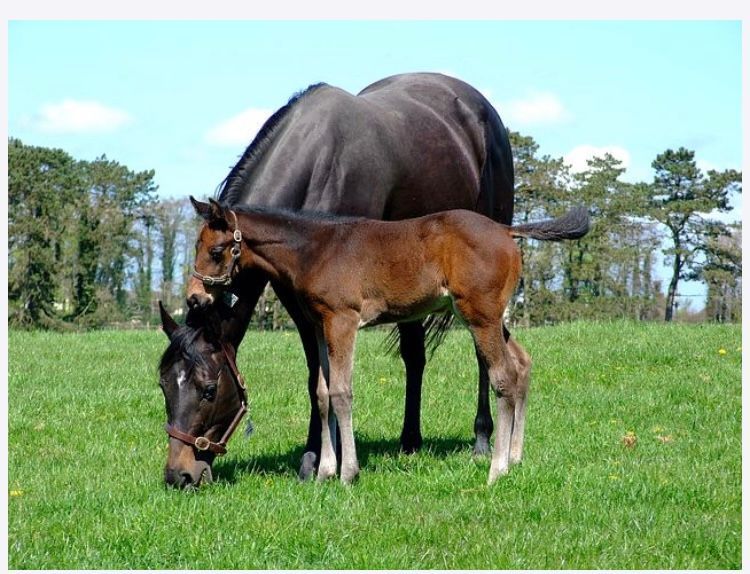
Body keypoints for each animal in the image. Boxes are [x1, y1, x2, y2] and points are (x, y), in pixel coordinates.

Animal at [187, 198, 589, 484]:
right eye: (196, 247)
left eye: (216, 251)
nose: (194, 297)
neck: (315, 250)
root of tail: (507, 230)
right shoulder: (320, 325)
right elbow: (322, 393)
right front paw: (324, 472)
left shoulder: (343, 320)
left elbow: (341, 393)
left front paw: (348, 473)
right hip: (486, 316)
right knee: (521, 364)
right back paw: (515, 457)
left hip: (480, 316)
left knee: (503, 376)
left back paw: (497, 469)